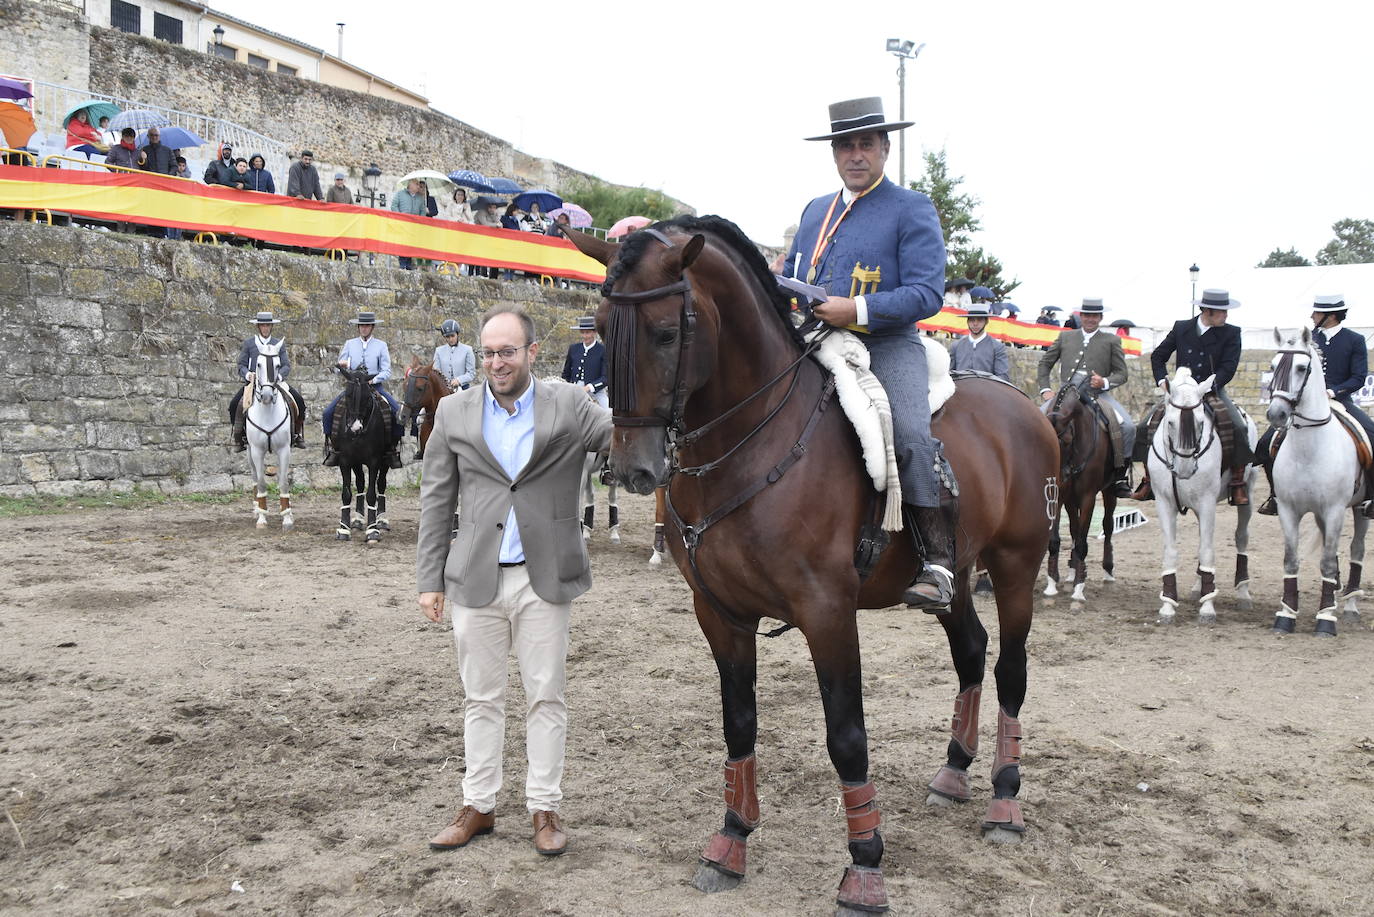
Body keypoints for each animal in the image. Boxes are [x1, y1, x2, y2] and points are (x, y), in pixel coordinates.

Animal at [332, 362, 392, 541]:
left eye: (367, 398)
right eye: (348, 395)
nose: (355, 428)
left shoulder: (374, 461)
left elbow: (372, 493)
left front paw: (372, 530)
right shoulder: (345, 460)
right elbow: (346, 493)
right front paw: (343, 529)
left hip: (385, 461)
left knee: (381, 485)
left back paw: (381, 519)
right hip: (356, 462)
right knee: (359, 483)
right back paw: (358, 519)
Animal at [563, 219, 1055, 917]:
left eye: (665, 332)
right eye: (603, 328)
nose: (632, 468)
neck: (751, 442)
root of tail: (1028, 407)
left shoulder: (826, 612)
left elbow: (847, 735)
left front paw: (865, 868)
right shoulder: (720, 613)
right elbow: (738, 722)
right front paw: (731, 841)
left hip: (1015, 566)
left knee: (1010, 668)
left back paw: (1004, 799)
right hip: (956, 575)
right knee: (970, 650)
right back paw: (954, 773)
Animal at [1044, 373, 1121, 602]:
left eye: (1067, 440)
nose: (1058, 475)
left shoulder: (1088, 496)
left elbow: (1082, 542)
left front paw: (1079, 588)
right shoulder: (1059, 495)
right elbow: (1056, 539)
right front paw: (1052, 583)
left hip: (1109, 491)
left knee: (1107, 525)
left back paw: (1107, 570)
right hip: (1070, 498)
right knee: (1075, 528)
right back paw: (1072, 570)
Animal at [1148, 368, 1258, 626]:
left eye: (1200, 422)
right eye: (1170, 422)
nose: (1185, 469)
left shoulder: (1207, 502)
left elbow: (1207, 550)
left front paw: (1208, 608)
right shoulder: (1164, 503)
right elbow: (1171, 551)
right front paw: (1168, 605)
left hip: (1246, 494)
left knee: (1241, 537)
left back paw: (1243, 593)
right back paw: (1199, 587)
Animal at [1264, 329, 1363, 637]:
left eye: (1300, 368)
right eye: (1272, 366)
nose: (1276, 414)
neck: (1309, 450)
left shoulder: (1334, 510)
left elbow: (1328, 563)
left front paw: (1326, 618)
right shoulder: (1288, 510)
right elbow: (1291, 559)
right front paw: (1286, 614)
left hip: (1360, 510)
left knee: (1357, 550)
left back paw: (1350, 605)